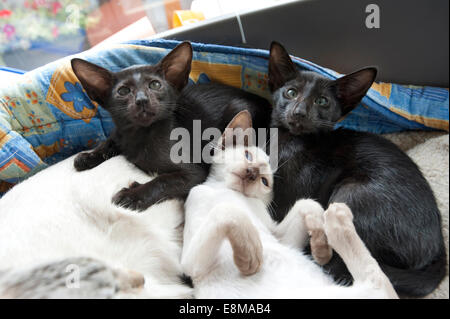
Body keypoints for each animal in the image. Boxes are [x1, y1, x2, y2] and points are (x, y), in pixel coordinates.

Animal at [72, 42, 272, 212]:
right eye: (123, 91)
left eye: (155, 85)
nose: (142, 99)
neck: (138, 136)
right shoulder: (120, 132)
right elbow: (108, 141)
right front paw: (88, 156)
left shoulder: (195, 174)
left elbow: (162, 180)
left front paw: (131, 196)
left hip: (238, 108)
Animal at [181, 112, 400, 300]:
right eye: (248, 156)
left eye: (264, 181)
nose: (252, 172)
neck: (225, 190)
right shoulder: (191, 266)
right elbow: (229, 211)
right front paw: (251, 255)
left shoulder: (279, 236)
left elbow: (307, 203)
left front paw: (320, 243)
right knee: (378, 282)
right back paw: (338, 219)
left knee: (378, 280)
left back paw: (337, 220)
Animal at [268, 42, 446, 298]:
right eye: (291, 92)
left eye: (322, 101)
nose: (299, 112)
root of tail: (439, 252)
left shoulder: (286, 201)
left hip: (349, 193)